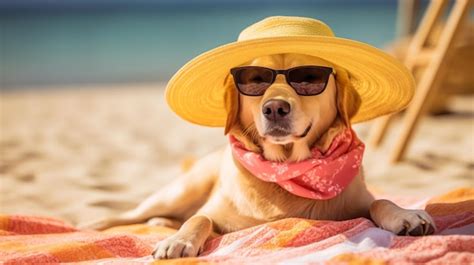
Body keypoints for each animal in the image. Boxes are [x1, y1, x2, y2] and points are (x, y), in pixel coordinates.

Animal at [80, 53, 434, 258]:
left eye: (309, 78)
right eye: (255, 81)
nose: (275, 108)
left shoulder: (358, 201)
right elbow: (199, 218)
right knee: (131, 214)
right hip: (181, 190)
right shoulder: (214, 213)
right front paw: (179, 241)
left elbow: (380, 201)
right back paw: (98, 223)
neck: (285, 169)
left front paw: (405, 214)